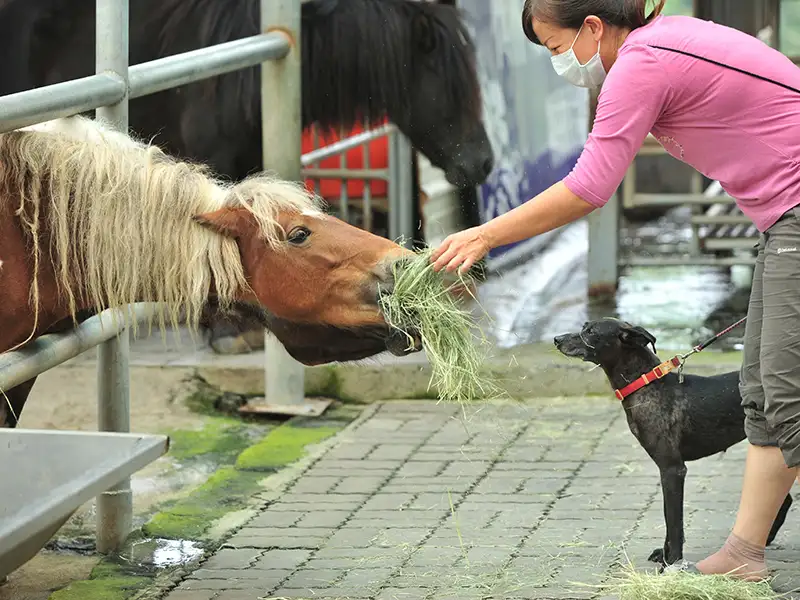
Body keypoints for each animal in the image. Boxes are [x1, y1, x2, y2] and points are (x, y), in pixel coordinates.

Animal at [552, 318, 792, 568]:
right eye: (584, 327)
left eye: (591, 332)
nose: (556, 339)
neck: (646, 385)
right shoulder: (667, 471)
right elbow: (670, 519)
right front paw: (664, 555)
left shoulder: (673, 469)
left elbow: (674, 520)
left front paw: (673, 562)